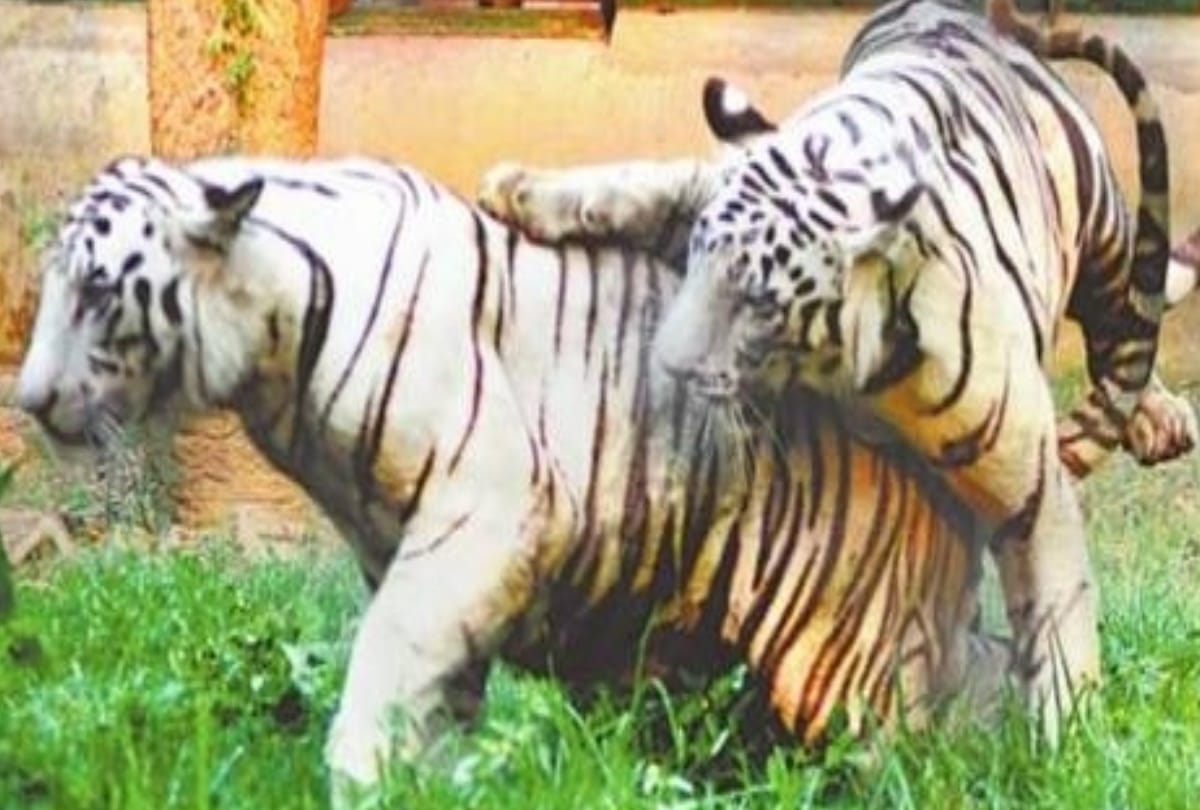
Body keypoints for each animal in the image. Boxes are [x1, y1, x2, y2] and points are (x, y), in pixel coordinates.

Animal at [15, 154, 1019, 803]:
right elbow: (440, 681)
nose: (27, 399)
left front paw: (360, 773)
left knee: (910, 757)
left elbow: (390, 652)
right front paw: (434, 775)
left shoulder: (488, 512)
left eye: (97, 292)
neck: (272, 345)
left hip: (844, 666)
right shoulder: (404, 540)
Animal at [477, 0, 1199, 744]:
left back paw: (1161, 416)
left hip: (1101, 214)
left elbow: (1059, 615)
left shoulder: (1028, 484)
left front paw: (1066, 742)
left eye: (760, 304)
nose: (669, 364)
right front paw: (526, 191)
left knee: (1123, 304)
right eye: (697, 266)